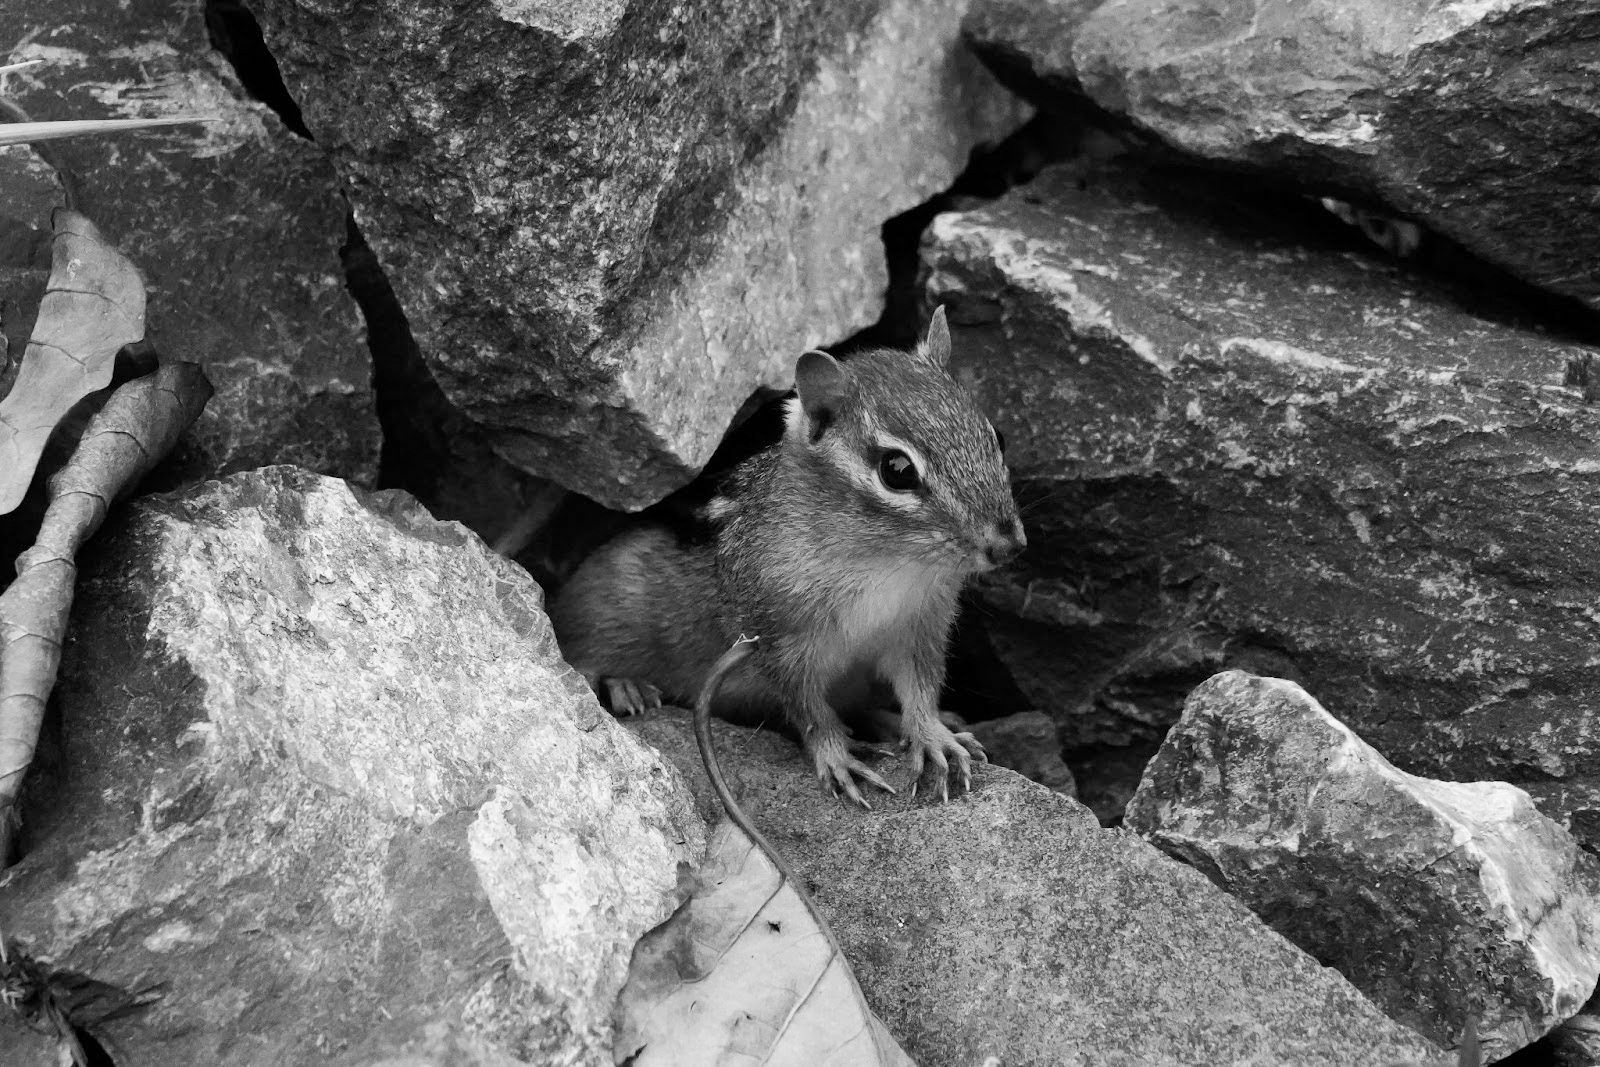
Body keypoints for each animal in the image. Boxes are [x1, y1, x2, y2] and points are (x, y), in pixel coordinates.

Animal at [547, 307, 1026, 805]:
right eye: (897, 470)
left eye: (997, 436)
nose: (1008, 545)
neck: (887, 565)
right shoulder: (777, 642)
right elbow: (809, 710)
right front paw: (839, 759)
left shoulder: (921, 626)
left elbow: (921, 689)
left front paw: (933, 735)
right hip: (604, 600)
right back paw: (626, 685)